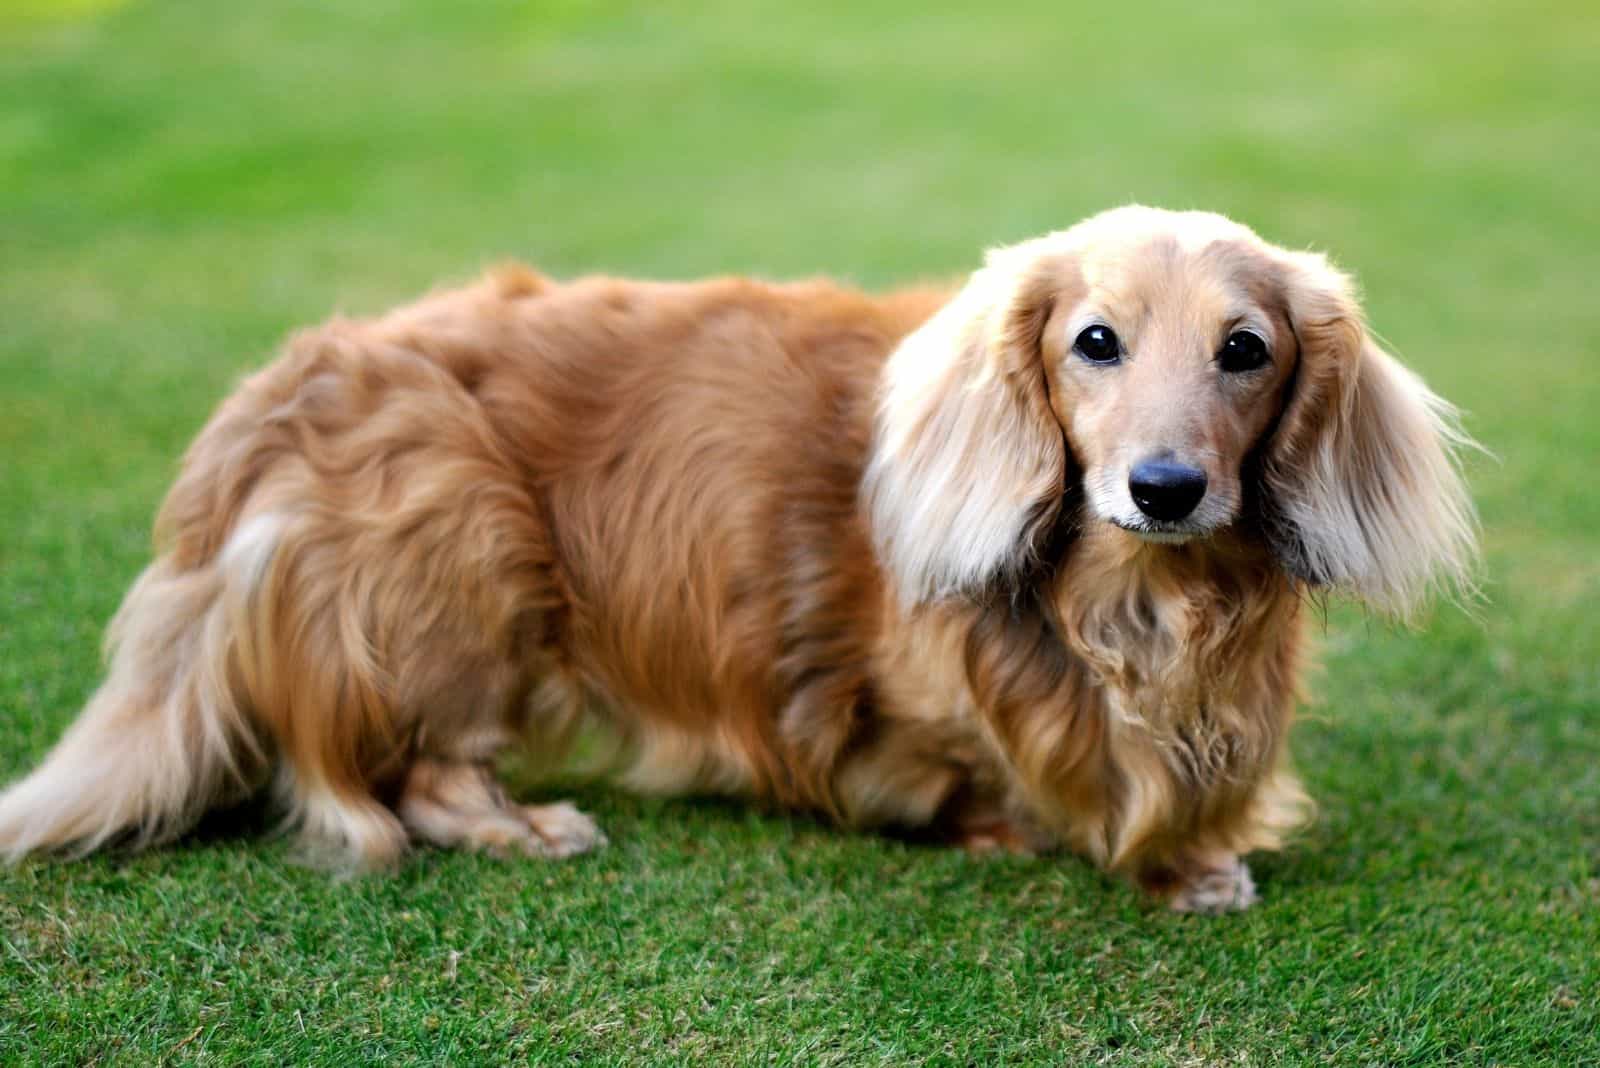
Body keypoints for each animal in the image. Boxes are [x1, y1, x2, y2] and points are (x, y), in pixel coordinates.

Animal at [0, 204, 1472, 908]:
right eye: (1092, 342)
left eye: (1247, 349)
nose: (1165, 490)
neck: (1140, 611)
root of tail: (280, 392)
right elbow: (980, 777)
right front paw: (1051, 833)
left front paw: (1197, 854)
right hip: (467, 545)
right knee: (395, 780)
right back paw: (522, 825)